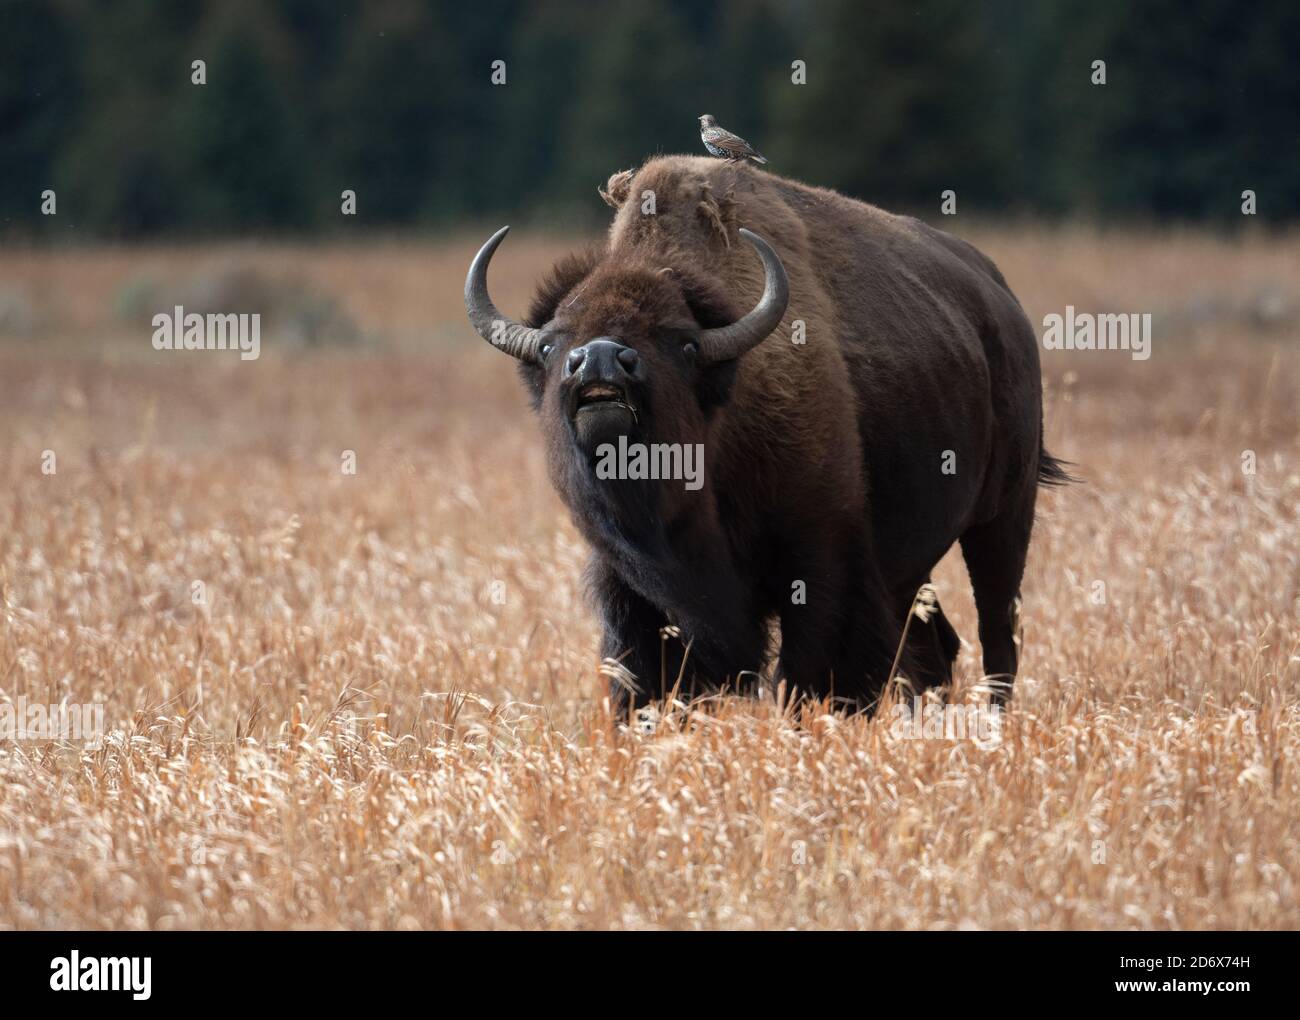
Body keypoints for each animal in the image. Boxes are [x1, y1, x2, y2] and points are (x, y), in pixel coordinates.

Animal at [465, 156, 1068, 714]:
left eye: (683, 343)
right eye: (551, 345)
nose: (600, 360)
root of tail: (1003, 307)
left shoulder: (822, 565)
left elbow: (813, 676)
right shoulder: (630, 592)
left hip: (1003, 518)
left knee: (997, 632)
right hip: (915, 565)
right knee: (936, 647)